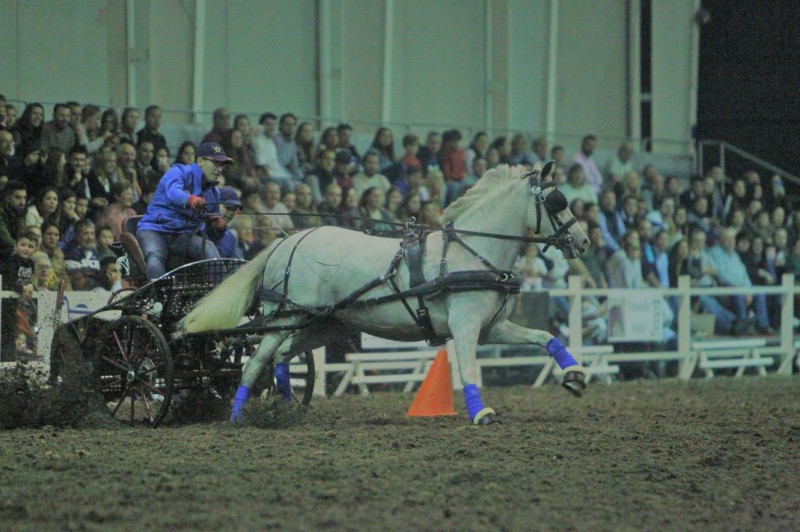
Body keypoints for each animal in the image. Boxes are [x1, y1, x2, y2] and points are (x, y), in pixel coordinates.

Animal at [180, 162, 588, 424]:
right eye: (558, 201)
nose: (582, 242)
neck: (469, 251)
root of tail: (289, 240)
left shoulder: (491, 328)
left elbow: (545, 337)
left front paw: (575, 376)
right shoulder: (466, 326)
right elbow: (468, 367)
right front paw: (481, 413)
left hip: (324, 324)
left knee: (282, 357)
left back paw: (285, 407)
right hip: (287, 316)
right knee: (253, 364)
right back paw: (236, 417)